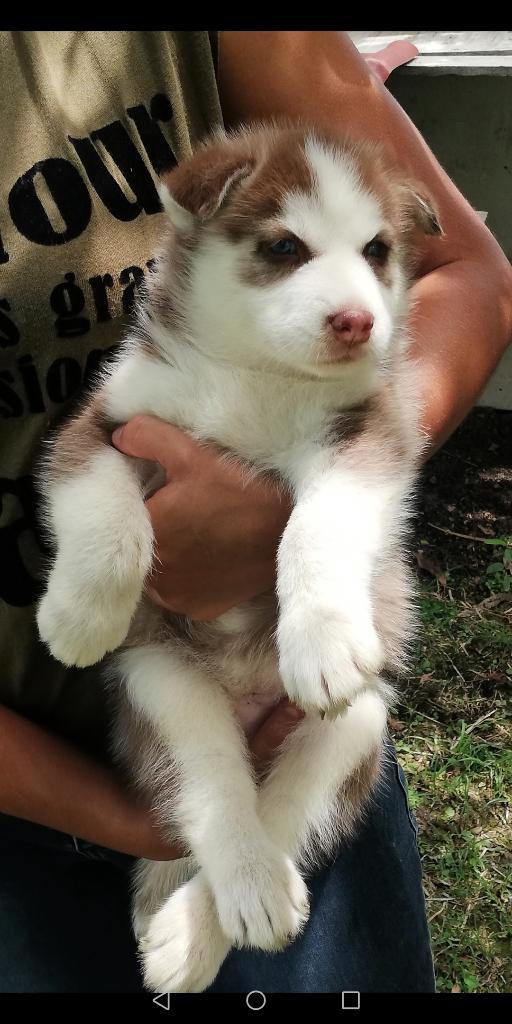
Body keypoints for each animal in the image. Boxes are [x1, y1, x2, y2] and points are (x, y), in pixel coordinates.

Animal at [37, 119, 440, 991]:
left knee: (284, 814)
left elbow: (319, 525)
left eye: (377, 250)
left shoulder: (370, 434)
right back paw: (213, 897)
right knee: (211, 793)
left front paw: (321, 636)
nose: (358, 322)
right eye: (285, 247)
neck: (257, 374)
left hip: (358, 723)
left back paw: (215, 921)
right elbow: (105, 513)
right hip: (162, 683)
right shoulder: (106, 421)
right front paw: (80, 616)